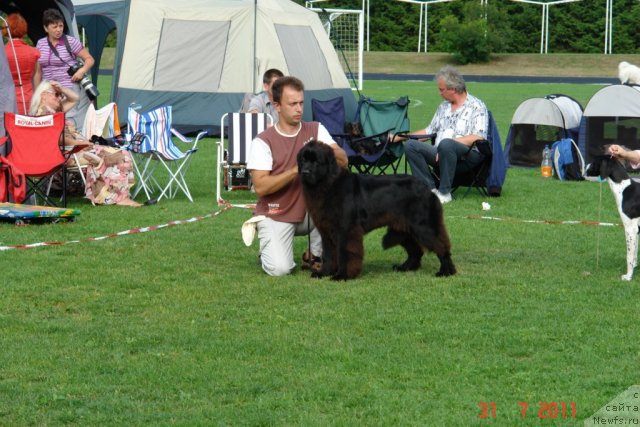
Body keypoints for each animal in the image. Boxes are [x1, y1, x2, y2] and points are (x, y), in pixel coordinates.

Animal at [298, 140, 456, 280]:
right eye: (303, 160)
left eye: (316, 161)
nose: (304, 172)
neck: (328, 183)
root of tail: (426, 188)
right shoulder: (326, 231)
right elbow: (328, 254)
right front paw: (324, 273)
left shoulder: (346, 230)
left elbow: (345, 253)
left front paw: (342, 275)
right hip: (403, 228)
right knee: (416, 250)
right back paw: (405, 267)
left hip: (423, 226)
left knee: (441, 246)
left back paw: (446, 271)